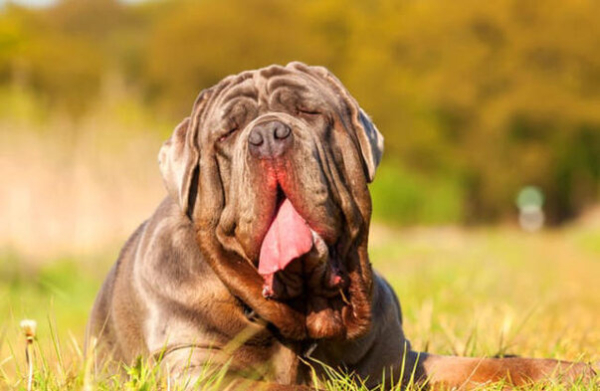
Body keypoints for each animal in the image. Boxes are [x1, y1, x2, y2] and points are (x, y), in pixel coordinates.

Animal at [86, 62, 596, 390]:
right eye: (227, 133)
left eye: (309, 112)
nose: (268, 134)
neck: (306, 314)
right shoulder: (208, 372)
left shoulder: (401, 365)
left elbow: (491, 366)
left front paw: (569, 372)